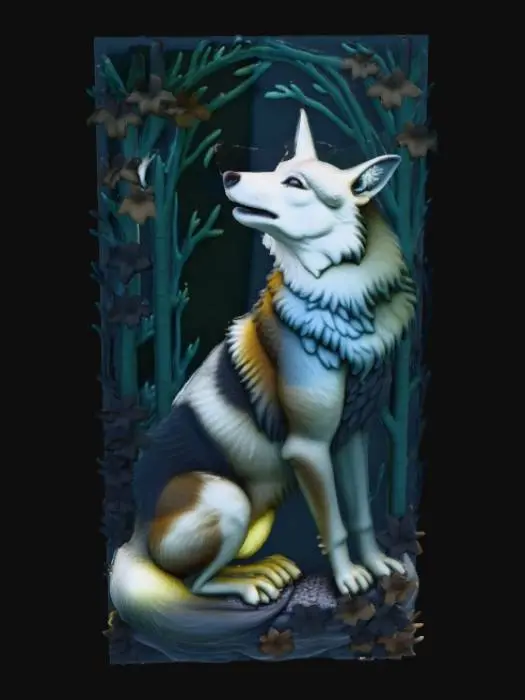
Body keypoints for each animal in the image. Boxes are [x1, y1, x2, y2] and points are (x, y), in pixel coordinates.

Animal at [109, 109, 416, 649]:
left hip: (257, 512)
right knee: (194, 581)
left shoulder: (351, 436)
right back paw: (251, 582)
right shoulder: (308, 448)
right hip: (227, 497)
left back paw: (263, 568)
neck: (340, 302)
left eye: (294, 182)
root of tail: (134, 537)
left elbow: (359, 514)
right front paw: (348, 580)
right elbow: (334, 522)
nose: (230, 175)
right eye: (276, 169)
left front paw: (378, 566)